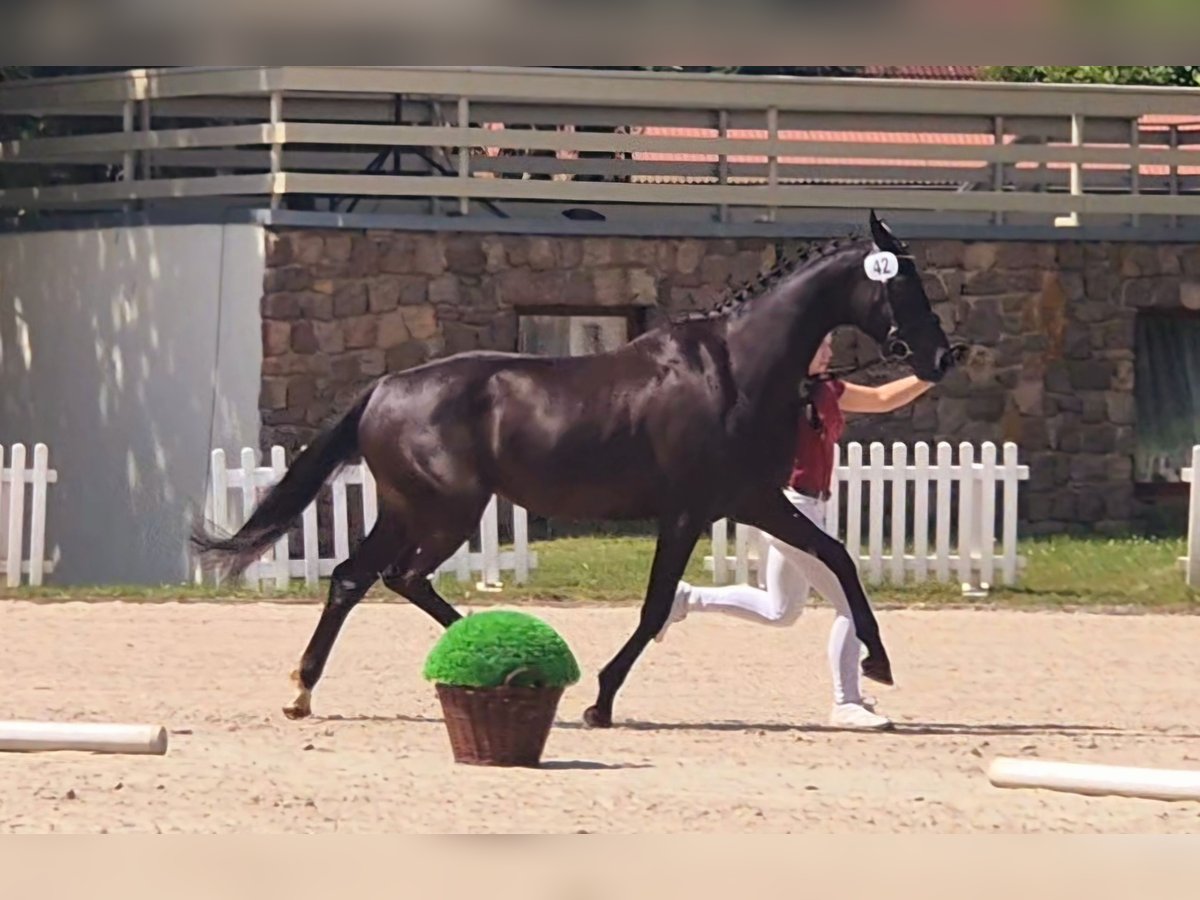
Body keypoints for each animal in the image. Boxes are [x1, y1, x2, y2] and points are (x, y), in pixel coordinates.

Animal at [192, 210, 960, 724]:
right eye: (903, 285)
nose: (940, 358)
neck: (737, 371)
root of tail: (384, 388)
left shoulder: (753, 500)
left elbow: (839, 556)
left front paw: (878, 661)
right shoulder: (692, 509)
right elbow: (655, 607)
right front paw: (601, 699)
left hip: (411, 510)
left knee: (356, 577)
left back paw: (307, 690)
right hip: (444, 512)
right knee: (397, 577)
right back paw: (504, 667)